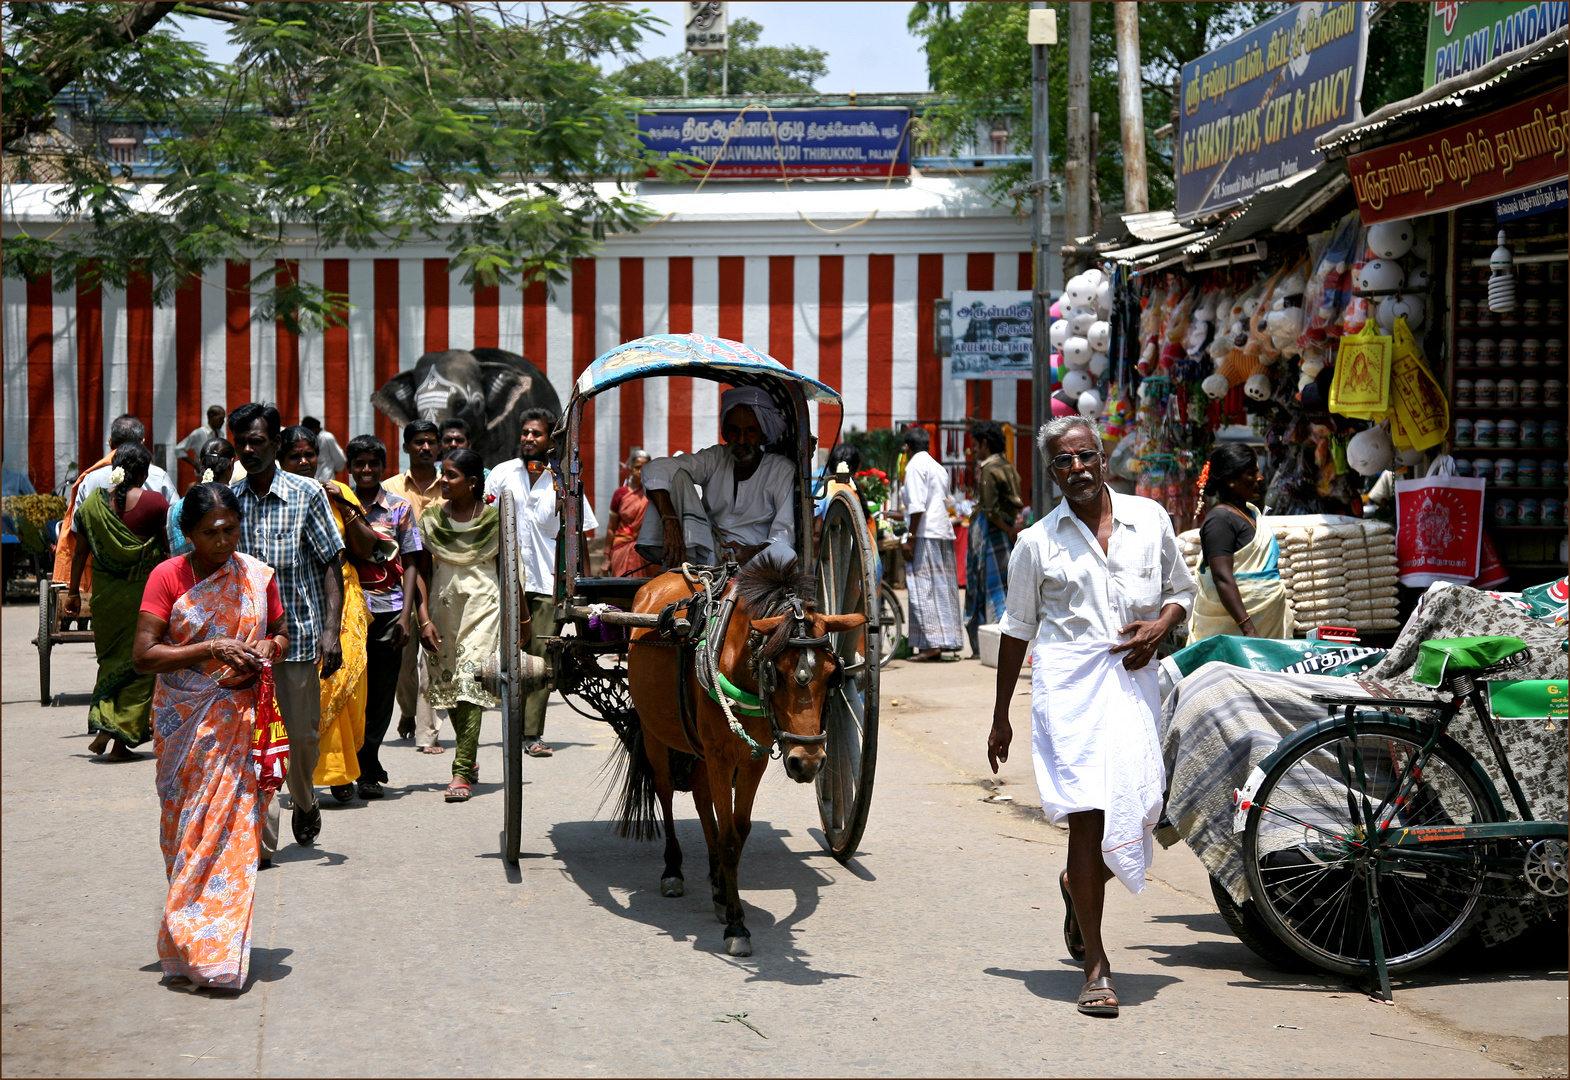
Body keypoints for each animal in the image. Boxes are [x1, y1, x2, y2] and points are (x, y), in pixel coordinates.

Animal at [618, 555, 866, 954]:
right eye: (776, 671)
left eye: (833, 676)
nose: (807, 762)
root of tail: (657, 580)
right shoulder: (720, 756)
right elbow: (730, 838)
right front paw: (737, 926)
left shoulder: (753, 758)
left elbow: (739, 828)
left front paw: (725, 893)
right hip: (656, 733)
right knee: (665, 791)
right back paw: (673, 870)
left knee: (701, 795)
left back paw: (717, 883)